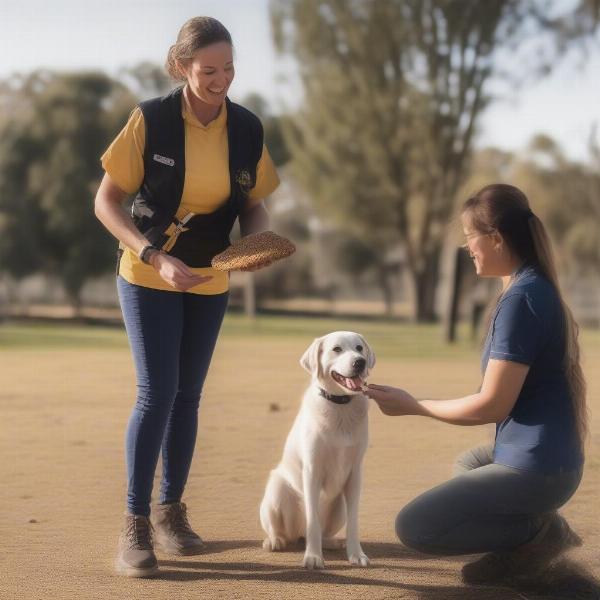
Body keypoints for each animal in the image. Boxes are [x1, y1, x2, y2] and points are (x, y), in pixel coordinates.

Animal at [258, 330, 376, 568]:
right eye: (337, 349)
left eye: (359, 348)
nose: (359, 362)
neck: (340, 405)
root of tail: (296, 535)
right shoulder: (312, 470)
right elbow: (313, 519)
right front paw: (313, 557)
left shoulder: (355, 473)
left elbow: (354, 523)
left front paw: (356, 554)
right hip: (276, 491)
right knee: (286, 531)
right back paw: (275, 541)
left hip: (339, 507)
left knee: (322, 532)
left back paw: (331, 542)